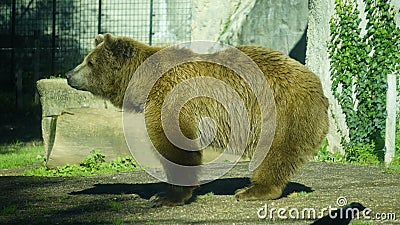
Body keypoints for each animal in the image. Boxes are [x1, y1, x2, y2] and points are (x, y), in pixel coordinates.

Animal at [65, 33, 328, 207]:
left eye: (90, 62)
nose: (68, 75)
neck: (142, 82)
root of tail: (317, 84)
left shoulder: (171, 97)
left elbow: (175, 145)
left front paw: (166, 196)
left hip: (281, 111)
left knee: (275, 152)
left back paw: (252, 190)